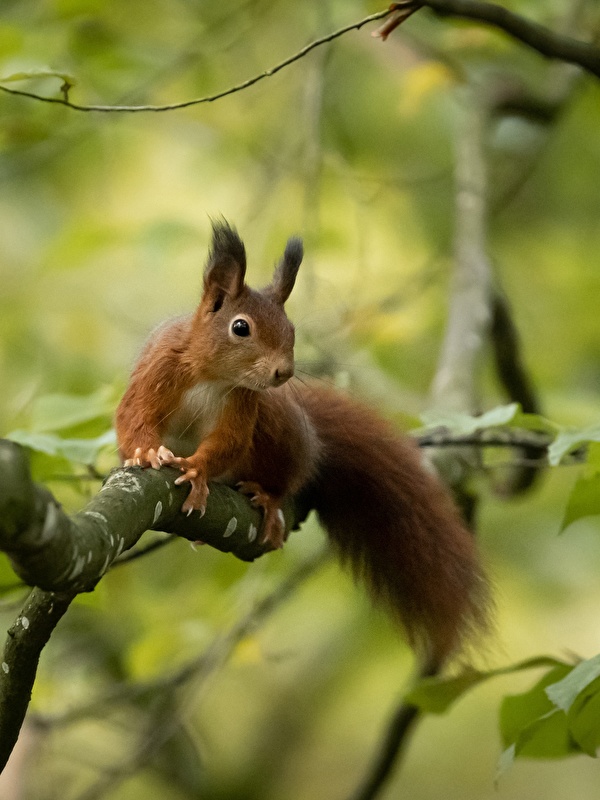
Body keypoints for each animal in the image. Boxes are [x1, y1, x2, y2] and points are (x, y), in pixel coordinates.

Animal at [115, 219, 490, 664]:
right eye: (240, 327)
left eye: (292, 330)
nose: (284, 372)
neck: (214, 375)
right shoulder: (158, 370)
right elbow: (133, 416)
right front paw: (145, 450)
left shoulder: (245, 404)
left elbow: (228, 443)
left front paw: (197, 469)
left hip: (279, 429)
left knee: (287, 475)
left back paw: (268, 497)